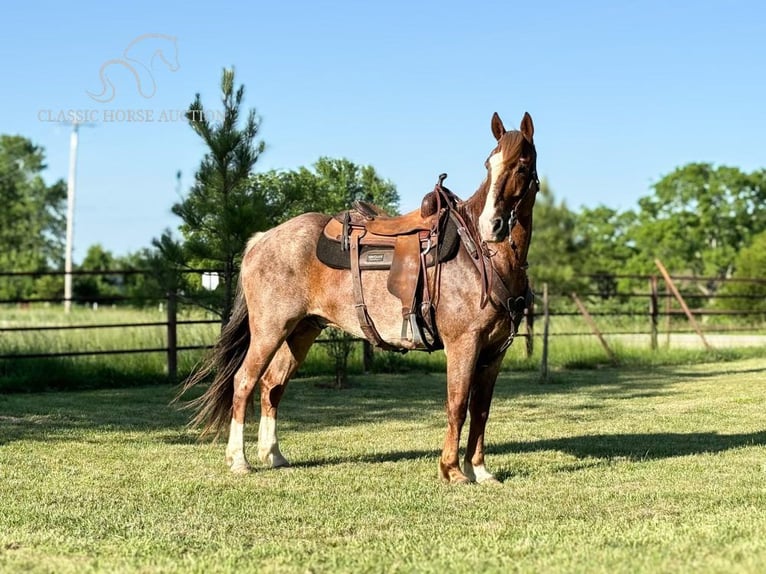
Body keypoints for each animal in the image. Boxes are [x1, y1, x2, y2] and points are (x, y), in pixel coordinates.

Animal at [180, 110, 540, 484]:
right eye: (489, 165)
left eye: (522, 166)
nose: (492, 225)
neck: (480, 253)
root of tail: (261, 240)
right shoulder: (463, 344)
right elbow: (457, 405)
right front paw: (453, 470)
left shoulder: (494, 352)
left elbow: (481, 409)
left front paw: (480, 470)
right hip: (269, 331)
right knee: (244, 382)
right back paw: (239, 459)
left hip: (300, 332)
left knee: (272, 386)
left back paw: (274, 455)